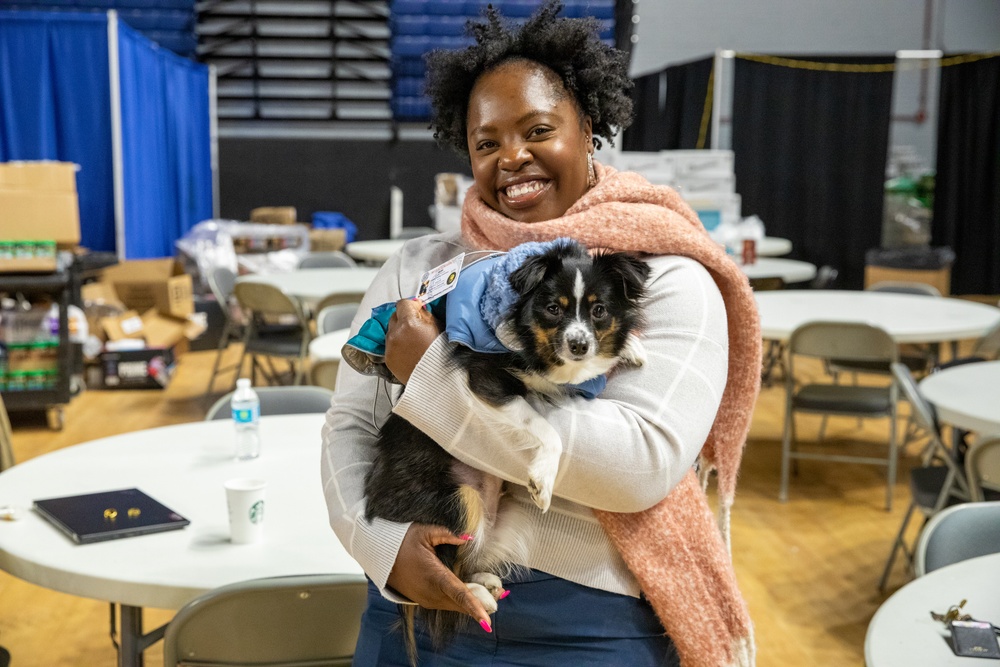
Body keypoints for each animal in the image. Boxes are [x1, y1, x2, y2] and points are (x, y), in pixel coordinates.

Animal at [364, 240, 652, 656]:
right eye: (553, 309)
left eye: (599, 310)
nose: (579, 345)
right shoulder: (488, 382)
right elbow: (547, 429)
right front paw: (543, 479)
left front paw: (631, 345)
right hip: (461, 500)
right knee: (448, 572)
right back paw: (474, 593)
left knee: (469, 559)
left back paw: (484, 580)